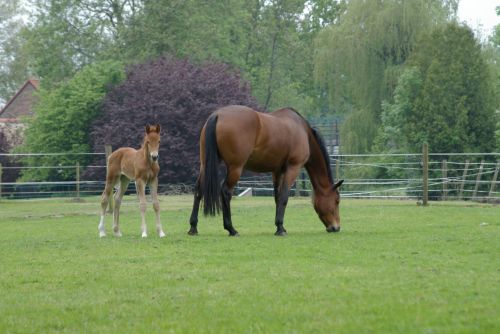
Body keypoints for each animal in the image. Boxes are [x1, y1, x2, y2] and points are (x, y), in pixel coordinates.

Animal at [188, 105, 344, 236]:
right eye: (337, 200)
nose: (336, 227)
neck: (302, 131)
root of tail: (218, 115)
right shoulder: (293, 168)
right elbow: (284, 197)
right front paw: (280, 228)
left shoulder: (277, 171)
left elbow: (277, 197)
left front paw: (280, 226)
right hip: (235, 168)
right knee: (226, 191)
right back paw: (231, 229)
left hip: (205, 165)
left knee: (199, 190)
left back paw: (193, 227)